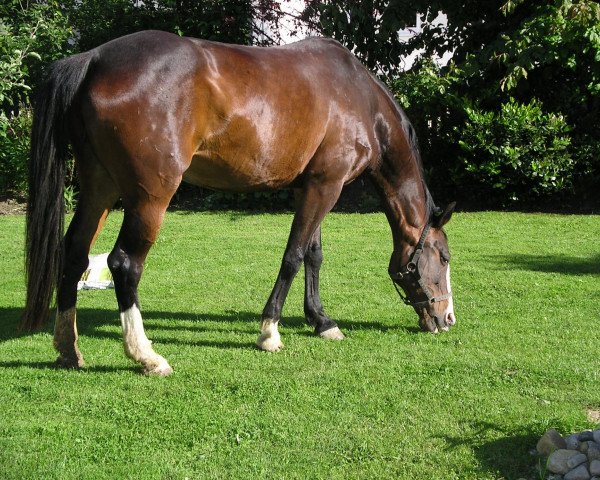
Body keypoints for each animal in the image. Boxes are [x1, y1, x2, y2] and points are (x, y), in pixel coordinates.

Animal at [22, 30, 454, 376]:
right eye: (445, 257)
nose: (447, 317)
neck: (359, 98)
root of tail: (93, 59)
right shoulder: (326, 187)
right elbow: (293, 256)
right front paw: (269, 331)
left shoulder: (313, 186)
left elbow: (313, 256)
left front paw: (321, 320)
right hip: (149, 199)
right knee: (124, 263)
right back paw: (146, 355)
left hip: (99, 188)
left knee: (74, 253)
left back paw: (68, 349)